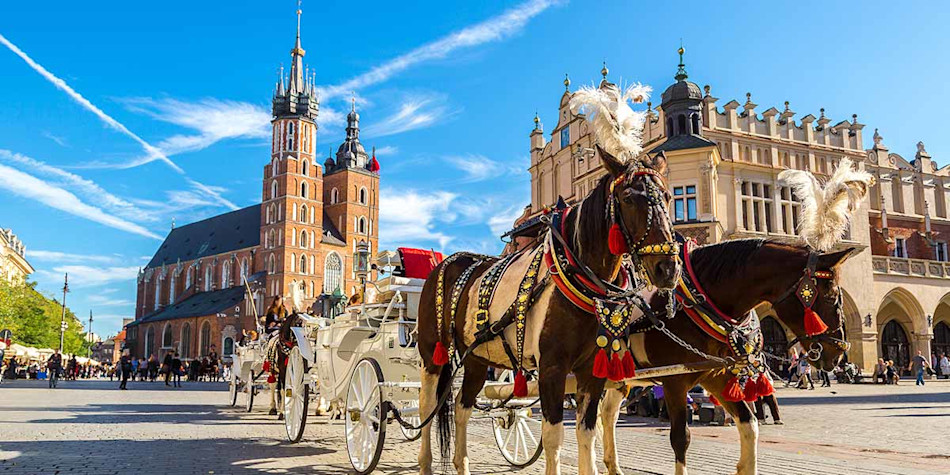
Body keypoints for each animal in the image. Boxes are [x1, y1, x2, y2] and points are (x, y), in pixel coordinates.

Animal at [416, 145, 681, 475]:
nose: (668, 268)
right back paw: (425, 462)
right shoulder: (552, 368)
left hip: (476, 358)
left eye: (668, 197)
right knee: (427, 406)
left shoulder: (591, 371)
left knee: (461, 409)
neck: (579, 278)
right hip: (432, 354)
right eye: (629, 198)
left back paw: (461, 464)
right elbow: (553, 437)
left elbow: (586, 434)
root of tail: (445, 263)